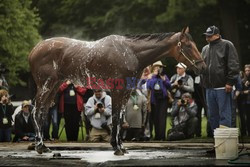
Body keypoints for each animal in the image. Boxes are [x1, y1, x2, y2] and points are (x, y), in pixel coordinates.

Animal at [28, 26, 206, 155]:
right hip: (46, 86)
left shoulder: (126, 92)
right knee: (36, 111)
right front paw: (117, 147)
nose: (202, 66)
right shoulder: (118, 91)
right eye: (188, 46)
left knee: (42, 112)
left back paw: (43, 146)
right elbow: (115, 117)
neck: (131, 53)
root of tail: (35, 49)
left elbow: (120, 118)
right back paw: (39, 145)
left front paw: (120, 145)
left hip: (54, 87)